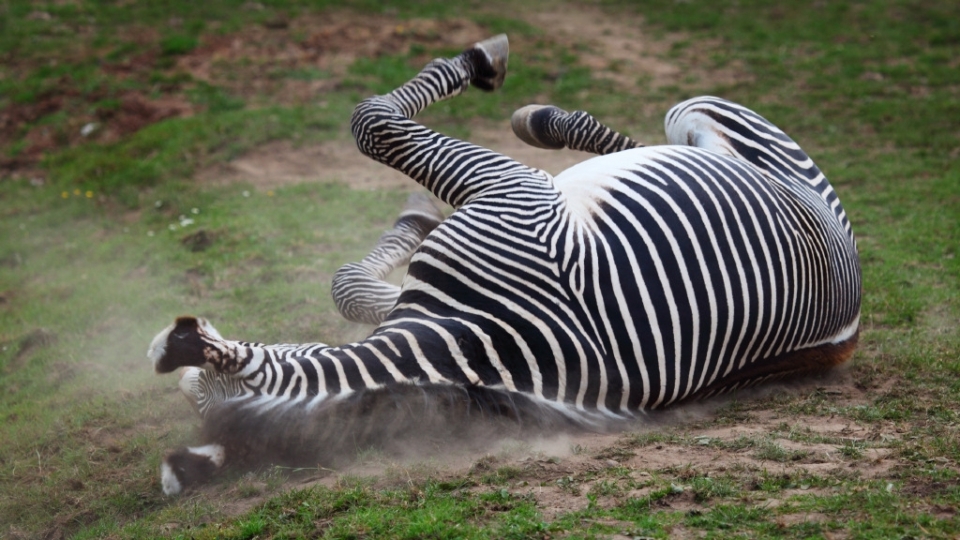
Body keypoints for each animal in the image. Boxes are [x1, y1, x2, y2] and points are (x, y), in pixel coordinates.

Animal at [152, 34, 864, 498]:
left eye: (193, 390)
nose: (182, 377)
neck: (467, 347)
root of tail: (848, 331)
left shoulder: (509, 189)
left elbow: (369, 130)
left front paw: (472, 71)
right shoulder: (511, 197)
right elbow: (369, 151)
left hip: (704, 120)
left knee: (642, 142)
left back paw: (536, 118)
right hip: (706, 123)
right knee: (650, 141)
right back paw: (542, 117)